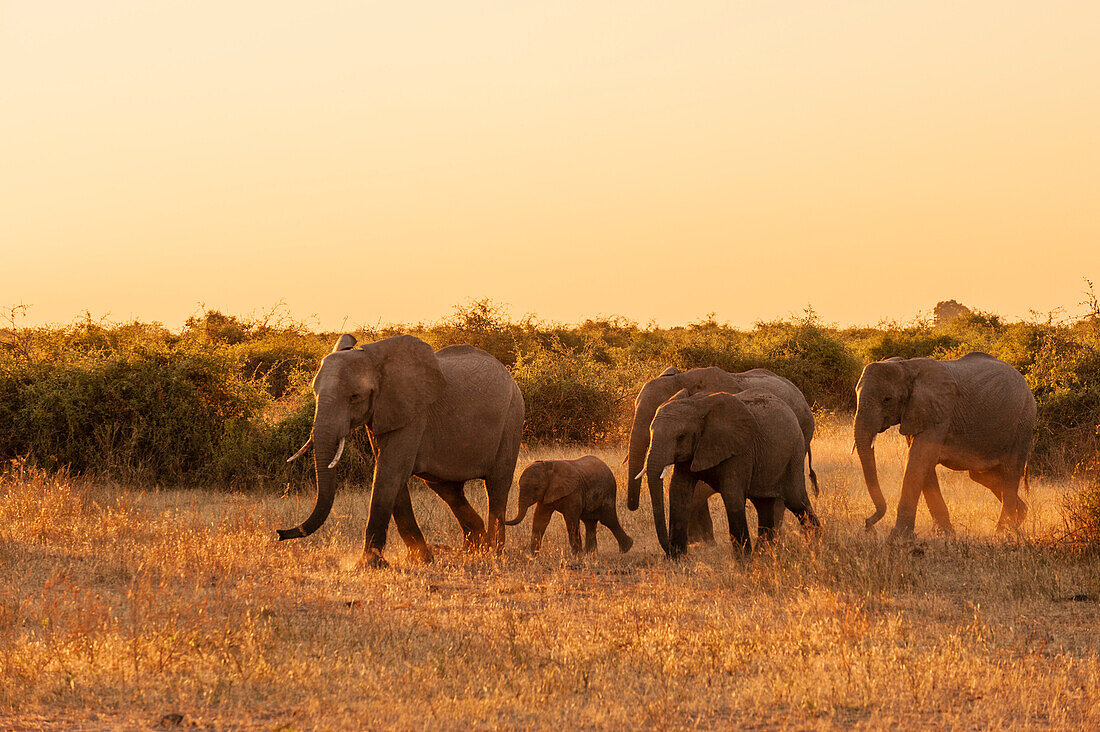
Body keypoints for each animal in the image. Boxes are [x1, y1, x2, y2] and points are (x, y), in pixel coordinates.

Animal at [279, 334, 528, 567]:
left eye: (354, 397)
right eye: (314, 393)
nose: (280, 533)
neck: (376, 362)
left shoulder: (412, 413)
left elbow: (389, 474)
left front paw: (370, 565)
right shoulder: (382, 413)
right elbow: (390, 476)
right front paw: (421, 559)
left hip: (512, 418)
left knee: (496, 485)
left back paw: (493, 553)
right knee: (448, 489)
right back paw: (474, 549)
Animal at [503, 457, 633, 554]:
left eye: (535, 488)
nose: (503, 518)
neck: (548, 465)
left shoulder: (574, 491)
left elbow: (571, 520)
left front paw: (577, 555)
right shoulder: (547, 493)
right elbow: (540, 519)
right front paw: (533, 555)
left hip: (608, 490)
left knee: (608, 519)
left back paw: (626, 548)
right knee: (590, 522)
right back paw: (591, 554)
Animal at [849, 352, 1038, 539]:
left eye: (887, 399)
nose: (868, 524)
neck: (907, 366)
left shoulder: (939, 413)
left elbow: (919, 460)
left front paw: (898, 537)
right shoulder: (917, 413)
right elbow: (923, 464)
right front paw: (945, 534)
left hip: (1022, 424)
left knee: (1011, 472)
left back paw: (1002, 533)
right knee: (983, 476)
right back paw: (1019, 517)